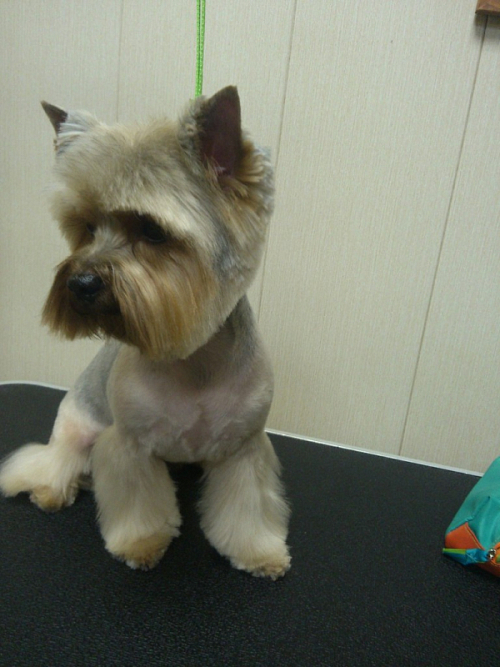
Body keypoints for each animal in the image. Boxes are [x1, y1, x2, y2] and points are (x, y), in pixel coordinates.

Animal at [0, 86, 290, 579]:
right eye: (87, 227)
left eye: (153, 231)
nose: (80, 284)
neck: (192, 361)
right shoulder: (130, 445)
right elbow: (137, 501)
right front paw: (141, 543)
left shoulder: (244, 448)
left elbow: (246, 507)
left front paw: (258, 552)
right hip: (77, 424)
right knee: (55, 459)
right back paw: (52, 490)